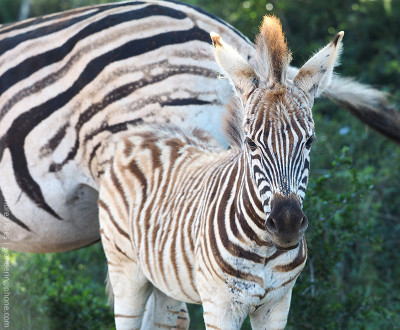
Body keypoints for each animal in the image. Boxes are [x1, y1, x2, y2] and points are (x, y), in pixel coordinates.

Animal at [100, 16, 344, 330]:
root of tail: (143, 130)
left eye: (309, 141)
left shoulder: (278, 304)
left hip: (166, 283)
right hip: (125, 269)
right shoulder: (221, 306)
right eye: (250, 142)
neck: (265, 250)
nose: (287, 224)